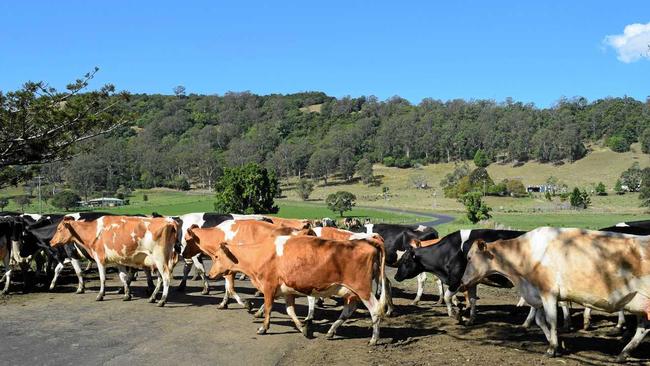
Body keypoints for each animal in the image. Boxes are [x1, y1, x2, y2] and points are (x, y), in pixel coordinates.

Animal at [50, 214, 178, 306]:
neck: (93, 231)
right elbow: (123, 277)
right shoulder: (118, 260)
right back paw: (152, 297)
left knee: (166, 277)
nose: (51, 242)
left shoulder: (100, 259)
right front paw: (127, 295)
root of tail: (168, 221)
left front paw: (101, 295)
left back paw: (162, 300)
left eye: (59, 229)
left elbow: (102, 278)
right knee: (160, 278)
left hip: (160, 259)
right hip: (159, 261)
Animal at [197, 230, 388, 344]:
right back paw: (331, 331)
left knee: (375, 310)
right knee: (349, 309)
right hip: (351, 291)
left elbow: (268, 308)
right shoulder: (286, 290)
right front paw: (303, 329)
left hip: (363, 289)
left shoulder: (268, 286)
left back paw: (374, 339)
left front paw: (263, 328)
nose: (210, 274)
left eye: (216, 256)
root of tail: (365, 242)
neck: (259, 253)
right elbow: (290, 311)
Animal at [392, 229, 524, 326]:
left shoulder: (457, 281)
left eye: (405, 260)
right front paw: (470, 319)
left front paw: (456, 315)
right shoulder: (471, 282)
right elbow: (472, 299)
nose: (396, 276)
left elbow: (447, 297)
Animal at [456, 227, 648, 362]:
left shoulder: (549, 293)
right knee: (643, 329)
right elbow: (540, 320)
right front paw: (557, 344)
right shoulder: (538, 295)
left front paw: (552, 348)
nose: (462, 282)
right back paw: (623, 354)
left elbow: (552, 320)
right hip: (641, 303)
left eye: (469, 258)